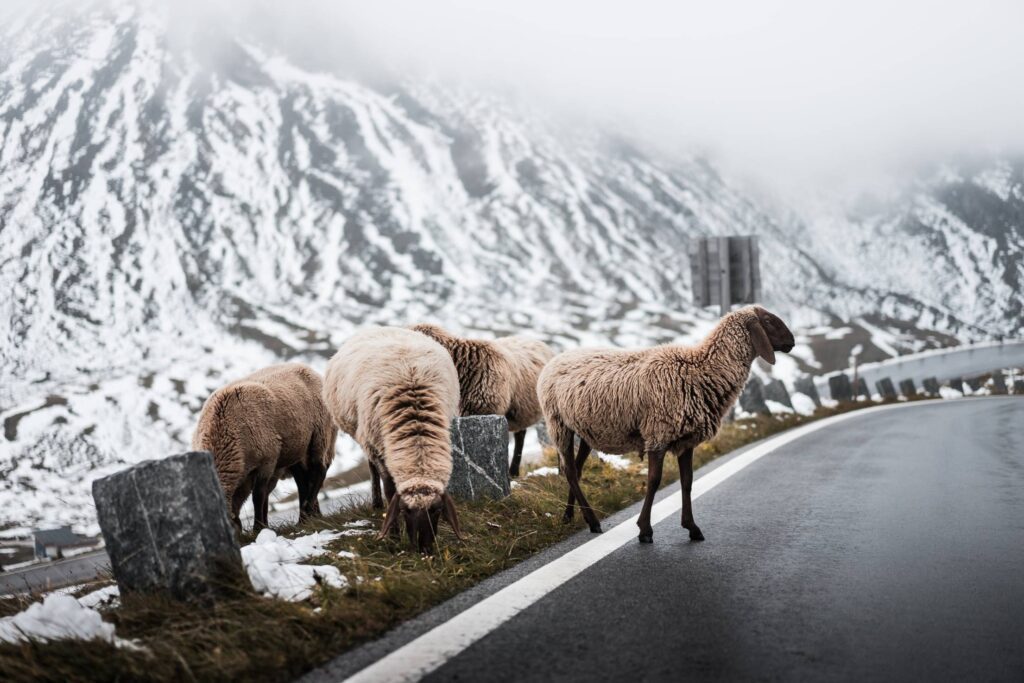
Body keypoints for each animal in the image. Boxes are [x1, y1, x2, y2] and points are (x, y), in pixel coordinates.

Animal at [192, 362, 335, 532]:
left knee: (319, 472)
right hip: (296, 449)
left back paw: (307, 512)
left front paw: (258, 527)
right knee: (303, 480)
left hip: (320, 434)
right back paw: (307, 516)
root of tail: (306, 368)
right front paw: (263, 525)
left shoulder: (267, 461)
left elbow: (259, 496)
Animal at [323, 327, 464, 557]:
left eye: (436, 510)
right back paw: (376, 502)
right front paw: (394, 535)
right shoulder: (378, 446)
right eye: (405, 510)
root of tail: (378, 327)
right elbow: (389, 488)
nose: (423, 549)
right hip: (365, 435)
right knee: (372, 468)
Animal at [540, 307, 794, 540]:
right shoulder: (658, 434)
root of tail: (556, 358)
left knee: (577, 469)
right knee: (570, 471)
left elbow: (688, 481)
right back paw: (592, 520)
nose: (792, 341)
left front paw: (692, 527)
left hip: (586, 430)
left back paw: (570, 515)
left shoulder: (686, 440)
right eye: (768, 320)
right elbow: (654, 481)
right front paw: (644, 529)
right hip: (558, 424)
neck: (700, 369)